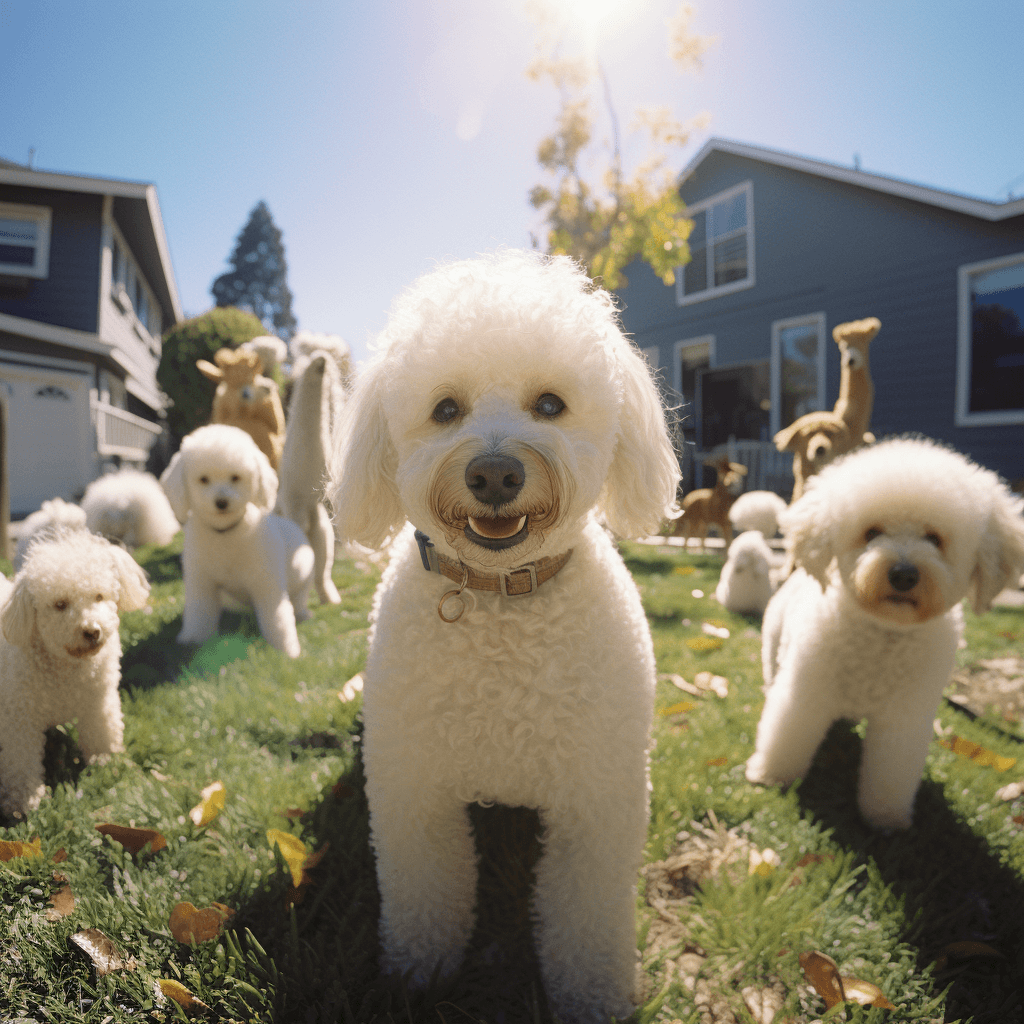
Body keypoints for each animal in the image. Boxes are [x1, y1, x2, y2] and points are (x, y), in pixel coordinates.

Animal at [0, 532, 149, 819]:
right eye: (60, 605)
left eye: (99, 596)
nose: (92, 631)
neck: (67, 667)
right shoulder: (18, 719)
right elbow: (20, 763)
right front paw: (23, 803)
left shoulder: (98, 699)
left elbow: (102, 730)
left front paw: (106, 761)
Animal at [157, 421, 311, 655]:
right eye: (203, 479)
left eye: (235, 477)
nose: (221, 502)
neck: (225, 534)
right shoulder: (201, 582)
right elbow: (198, 614)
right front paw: (192, 640)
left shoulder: (267, 584)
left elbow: (277, 619)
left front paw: (287, 649)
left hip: (302, 580)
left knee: (299, 600)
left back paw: (302, 615)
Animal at [327, 249, 679, 1024]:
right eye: (445, 409)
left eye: (549, 404)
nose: (494, 473)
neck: (499, 602)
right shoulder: (415, 794)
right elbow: (426, 897)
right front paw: (417, 974)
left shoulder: (597, 802)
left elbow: (587, 920)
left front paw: (595, 996)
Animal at [745, 438, 1024, 831]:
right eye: (872, 532)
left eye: (934, 538)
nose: (904, 574)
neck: (884, 634)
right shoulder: (806, 693)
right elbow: (786, 734)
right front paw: (771, 774)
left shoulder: (904, 716)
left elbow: (892, 771)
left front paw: (885, 817)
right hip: (774, 652)